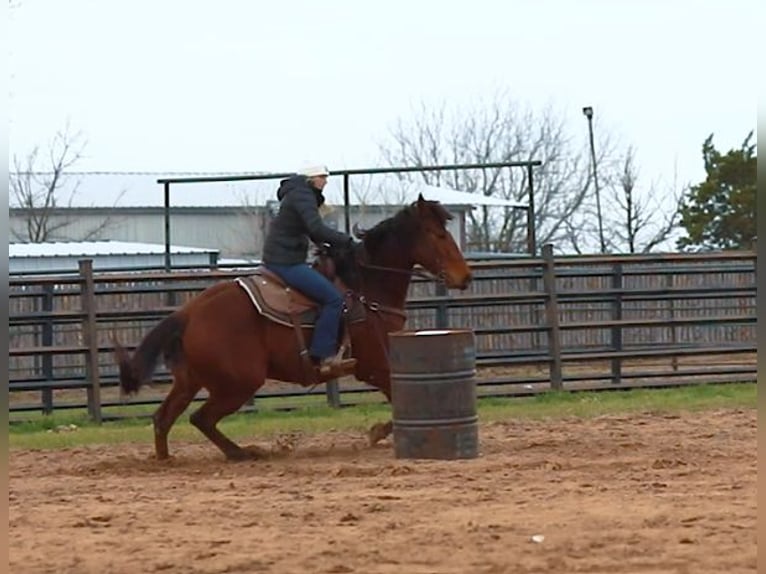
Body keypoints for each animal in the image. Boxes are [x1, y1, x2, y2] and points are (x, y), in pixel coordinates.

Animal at [114, 195, 474, 464]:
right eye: (439, 235)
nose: (465, 276)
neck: (366, 286)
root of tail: (188, 313)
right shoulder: (376, 365)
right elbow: (397, 399)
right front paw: (377, 432)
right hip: (238, 383)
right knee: (199, 418)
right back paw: (243, 453)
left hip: (191, 381)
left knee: (164, 419)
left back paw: (167, 460)